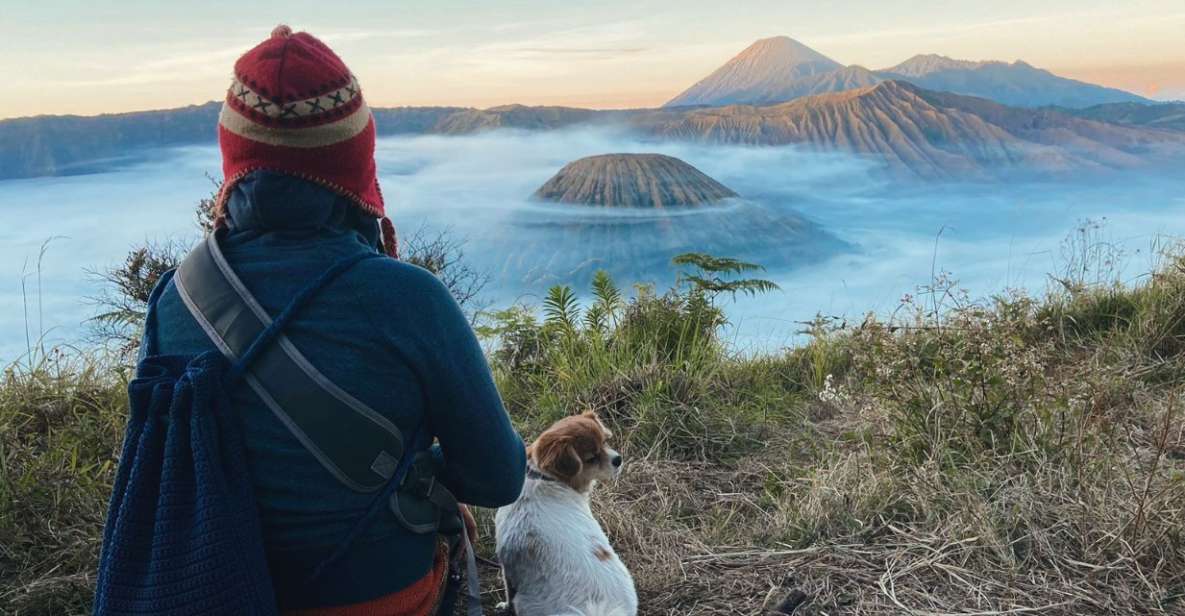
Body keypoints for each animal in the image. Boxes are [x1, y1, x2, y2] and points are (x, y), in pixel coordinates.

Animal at [492, 409, 639, 616]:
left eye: (605, 442)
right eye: (591, 458)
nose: (618, 460)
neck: (542, 476)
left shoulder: (507, 565)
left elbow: (508, 592)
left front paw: (504, 606)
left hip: (524, 602)